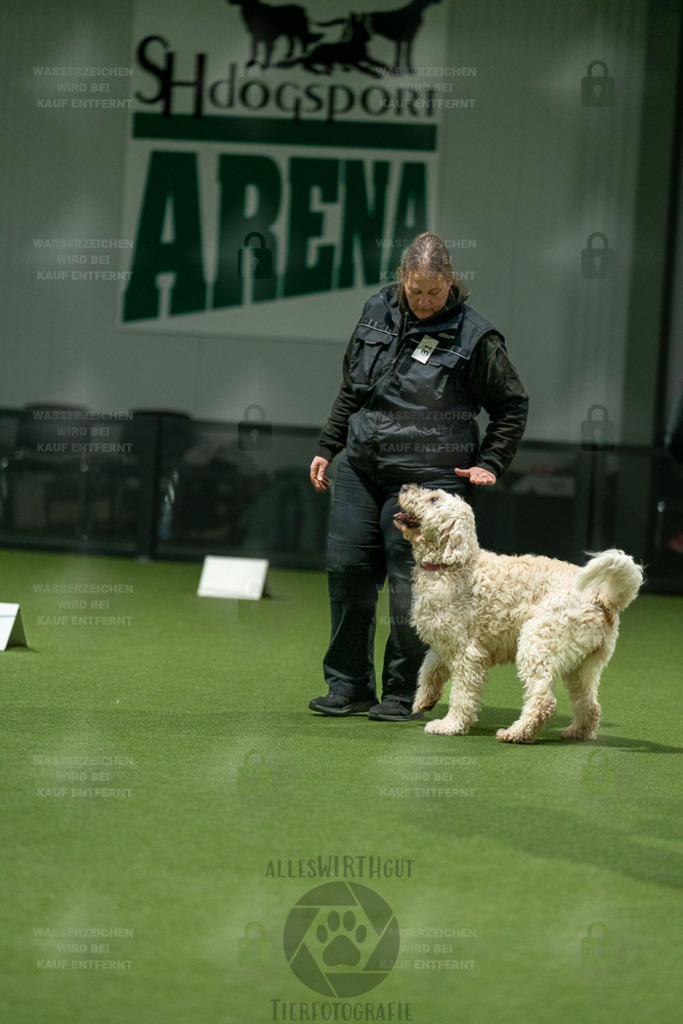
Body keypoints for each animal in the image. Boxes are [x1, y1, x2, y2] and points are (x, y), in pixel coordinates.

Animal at [393, 483, 643, 741]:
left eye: (434, 499)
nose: (404, 487)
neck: (451, 564)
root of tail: (601, 598)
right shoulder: (444, 642)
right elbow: (428, 668)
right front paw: (423, 700)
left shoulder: (467, 653)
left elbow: (462, 694)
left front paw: (450, 725)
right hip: (583, 666)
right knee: (590, 704)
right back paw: (578, 732)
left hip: (536, 644)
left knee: (544, 701)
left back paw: (516, 732)